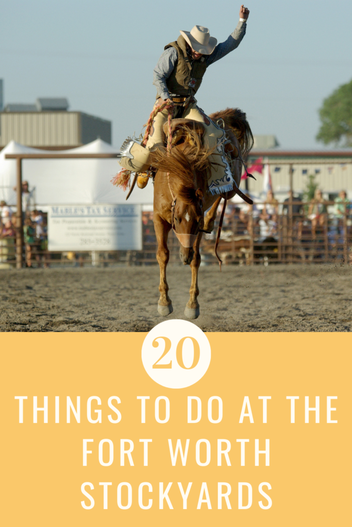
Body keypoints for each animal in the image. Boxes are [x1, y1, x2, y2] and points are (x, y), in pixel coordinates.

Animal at [151, 108, 253, 318]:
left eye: (196, 221)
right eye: (177, 219)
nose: (184, 256)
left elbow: (197, 260)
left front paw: (192, 305)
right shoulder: (158, 218)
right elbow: (163, 254)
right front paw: (164, 302)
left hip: (232, 185)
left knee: (224, 194)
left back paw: (210, 221)